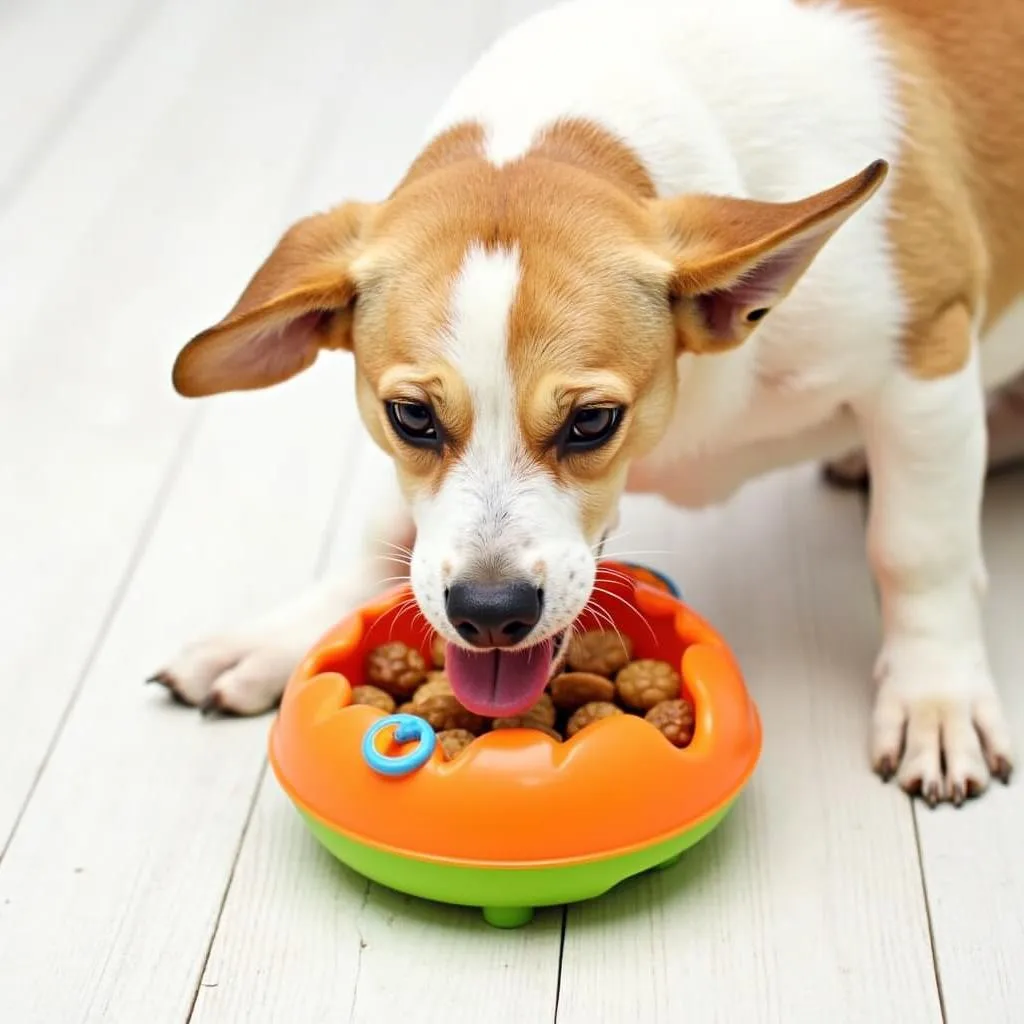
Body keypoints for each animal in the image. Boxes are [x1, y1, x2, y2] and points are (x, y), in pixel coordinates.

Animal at [151, 0, 1024, 802]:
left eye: (592, 422)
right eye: (413, 418)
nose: (489, 612)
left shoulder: (927, 363)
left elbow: (917, 551)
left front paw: (935, 697)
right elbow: (383, 535)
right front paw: (282, 637)